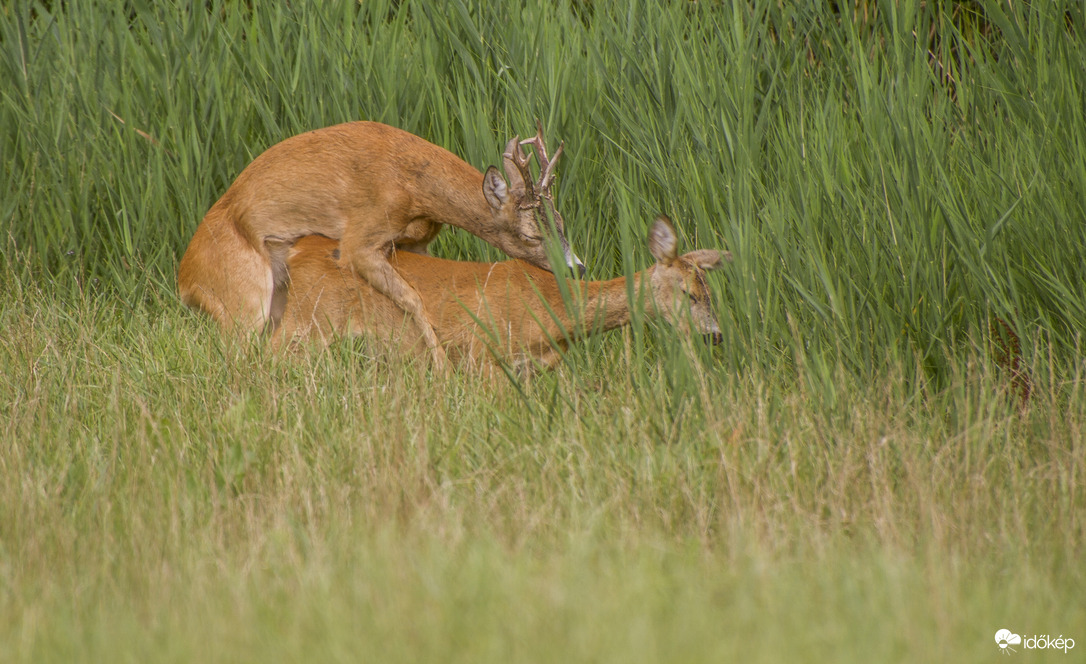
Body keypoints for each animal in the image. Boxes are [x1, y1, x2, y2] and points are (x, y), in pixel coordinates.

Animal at [178, 119, 586, 369]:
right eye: (532, 234)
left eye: (562, 223)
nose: (577, 268)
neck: (415, 187)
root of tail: (184, 281)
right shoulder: (360, 239)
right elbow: (414, 300)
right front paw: (443, 367)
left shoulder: (416, 243)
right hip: (244, 299)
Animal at [271, 217, 729, 373]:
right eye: (688, 293)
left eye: (710, 293)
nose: (716, 336)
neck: (555, 309)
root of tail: (298, 249)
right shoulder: (485, 355)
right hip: (307, 324)